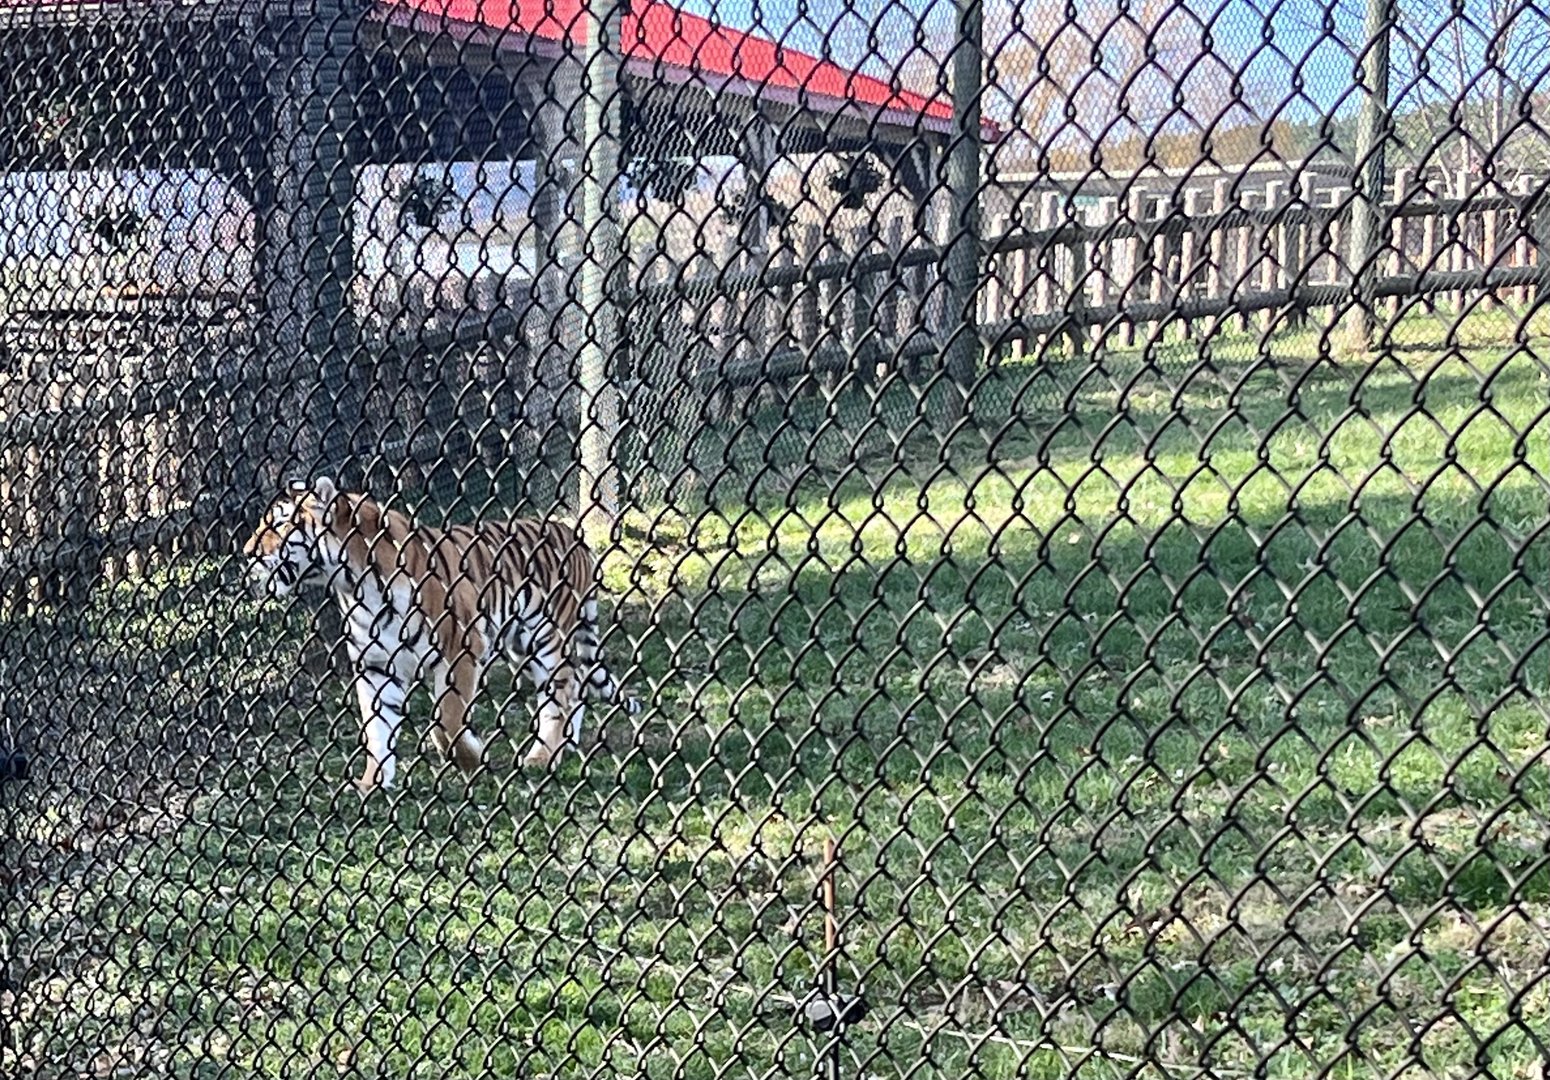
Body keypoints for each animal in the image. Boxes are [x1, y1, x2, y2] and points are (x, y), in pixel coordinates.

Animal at [241, 476, 640, 794]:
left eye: (279, 524)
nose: (246, 553)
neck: (355, 585)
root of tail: (572, 532)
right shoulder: (375, 666)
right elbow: (377, 730)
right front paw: (372, 782)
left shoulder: (461, 649)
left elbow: (447, 719)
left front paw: (471, 760)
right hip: (521, 647)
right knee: (575, 686)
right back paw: (565, 745)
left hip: (547, 638)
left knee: (560, 695)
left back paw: (542, 756)